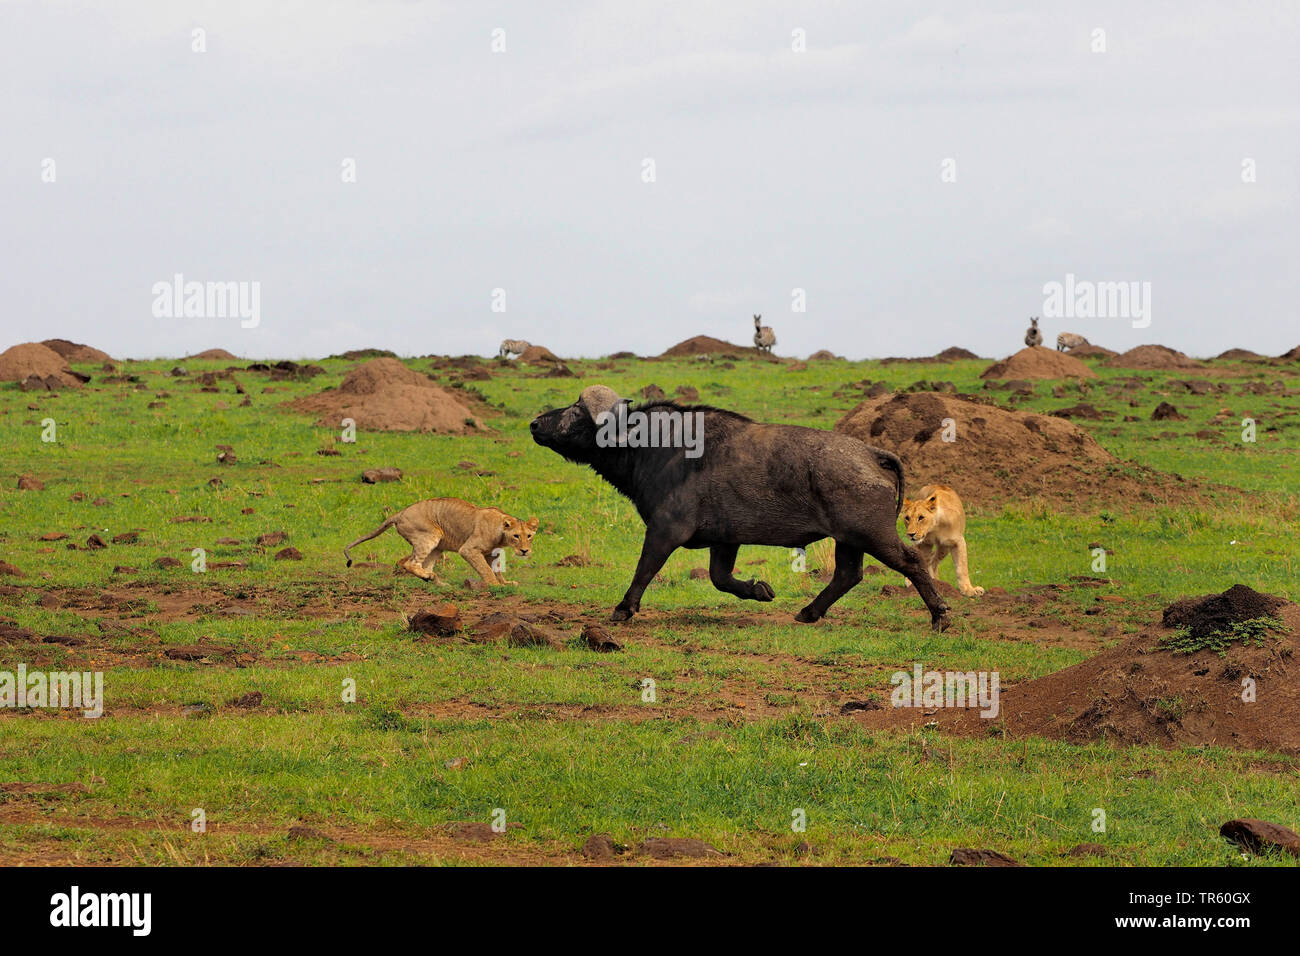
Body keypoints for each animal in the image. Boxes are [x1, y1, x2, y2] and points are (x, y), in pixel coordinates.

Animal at [340, 496, 538, 587]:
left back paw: (437, 582)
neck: (500, 530)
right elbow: (486, 570)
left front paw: (505, 583)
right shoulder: (469, 549)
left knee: (424, 565)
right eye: (516, 536)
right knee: (410, 563)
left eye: (529, 536)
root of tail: (400, 513)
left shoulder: (492, 552)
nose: (525, 551)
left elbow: (496, 570)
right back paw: (431, 578)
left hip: (438, 546)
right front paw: (495, 585)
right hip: (430, 535)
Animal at [533, 385, 951, 632]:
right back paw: (809, 612)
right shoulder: (725, 541)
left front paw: (624, 608)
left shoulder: (665, 530)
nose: (536, 423)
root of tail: (871, 454)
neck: (652, 446)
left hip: (871, 533)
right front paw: (760, 590)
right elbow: (721, 579)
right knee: (848, 575)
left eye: (576, 411)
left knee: (911, 561)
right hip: (848, 538)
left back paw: (940, 615)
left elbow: (644, 569)